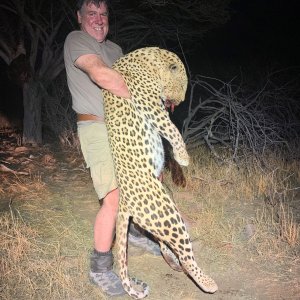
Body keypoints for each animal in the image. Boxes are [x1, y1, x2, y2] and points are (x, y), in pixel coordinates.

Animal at [102, 47, 217, 300]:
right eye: (182, 84)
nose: (180, 101)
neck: (147, 61)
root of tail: (124, 202)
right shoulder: (152, 107)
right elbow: (173, 130)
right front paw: (183, 158)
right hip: (166, 213)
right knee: (185, 253)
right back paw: (207, 282)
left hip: (160, 212)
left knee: (164, 242)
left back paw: (172, 261)